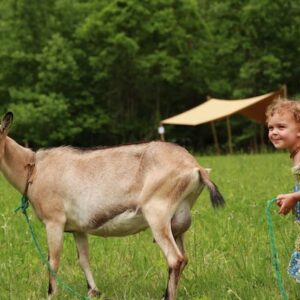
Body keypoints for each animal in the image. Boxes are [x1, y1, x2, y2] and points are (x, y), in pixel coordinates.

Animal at [0, 112, 224, 300]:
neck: (33, 169)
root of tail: (195, 167)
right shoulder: (78, 228)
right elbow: (84, 259)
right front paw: (93, 291)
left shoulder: (54, 221)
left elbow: (53, 261)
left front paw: (51, 295)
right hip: (178, 221)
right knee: (183, 258)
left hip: (157, 213)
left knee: (175, 258)